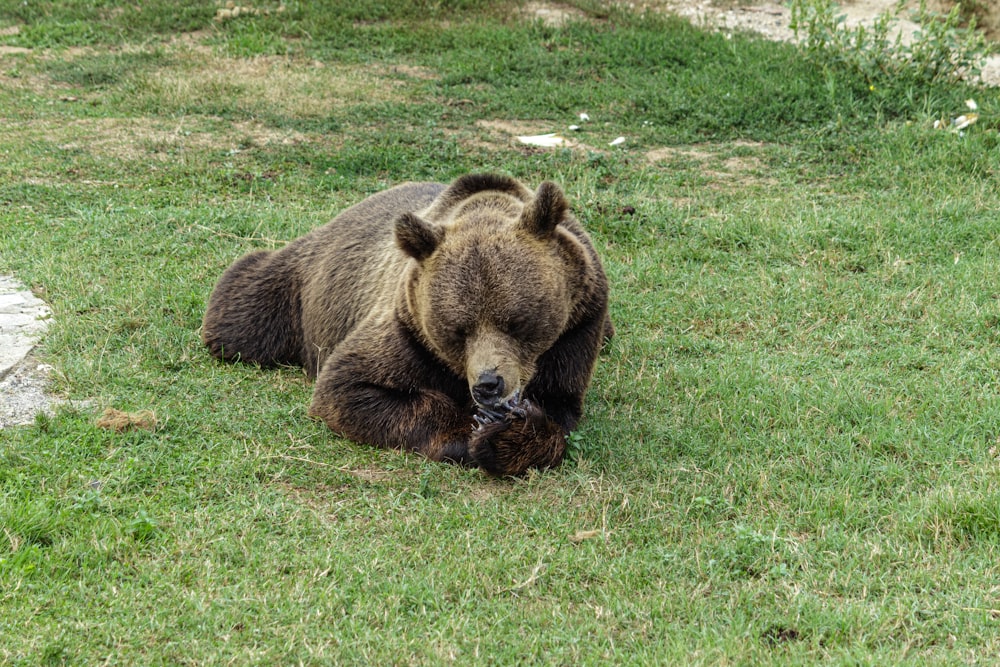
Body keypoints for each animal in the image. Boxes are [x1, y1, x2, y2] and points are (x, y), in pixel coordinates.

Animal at [201, 172, 608, 474]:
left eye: (517, 322)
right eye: (458, 330)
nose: (488, 384)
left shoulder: (577, 327)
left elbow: (558, 407)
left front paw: (505, 434)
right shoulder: (406, 329)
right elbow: (350, 388)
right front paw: (471, 430)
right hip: (299, 285)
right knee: (244, 314)